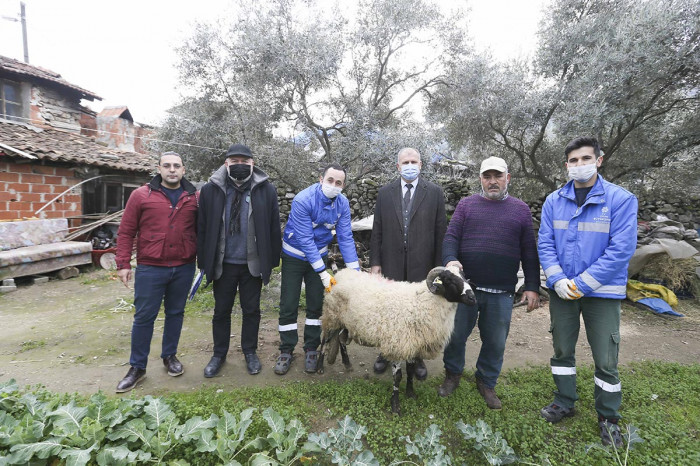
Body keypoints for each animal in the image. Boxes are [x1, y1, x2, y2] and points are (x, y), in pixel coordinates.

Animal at [318, 266, 476, 416]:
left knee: (341, 339)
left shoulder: (413, 345)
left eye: (464, 277)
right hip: (331, 315)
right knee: (324, 339)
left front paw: (410, 394)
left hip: (345, 321)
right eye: (449, 280)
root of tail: (340, 273)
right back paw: (320, 366)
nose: (473, 298)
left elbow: (411, 371)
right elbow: (398, 377)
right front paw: (395, 406)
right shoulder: (397, 344)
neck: (423, 302)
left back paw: (347, 364)